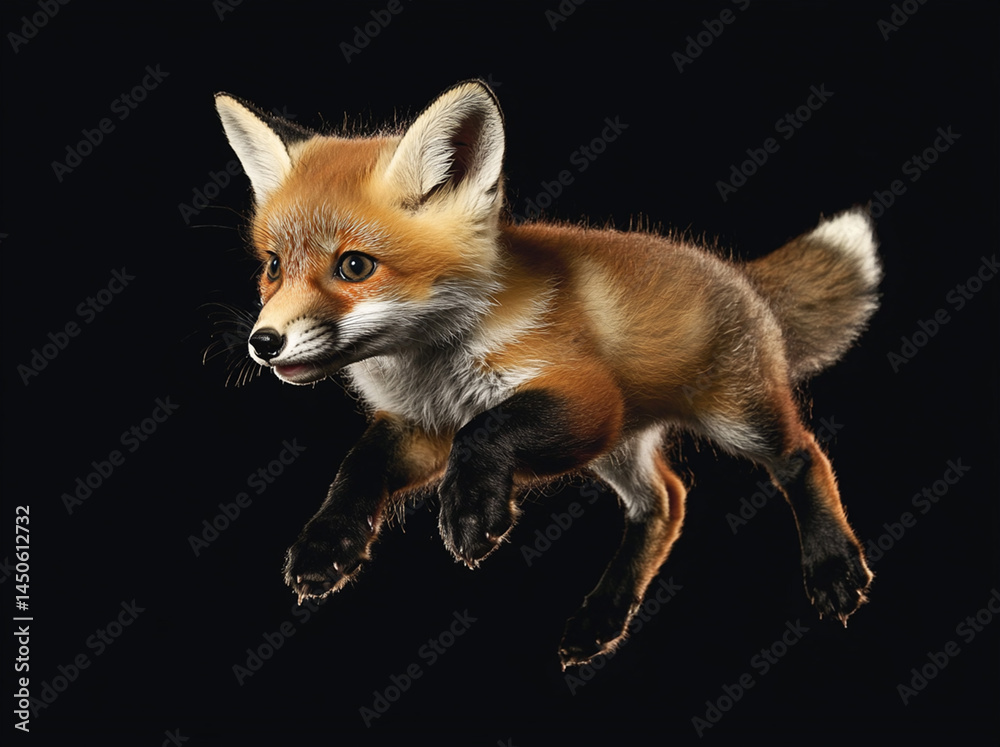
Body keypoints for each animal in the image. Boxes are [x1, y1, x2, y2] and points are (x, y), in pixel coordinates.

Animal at [213, 80, 881, 668]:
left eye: (355, 266)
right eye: (273, 266)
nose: (263, 343)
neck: (437, 371)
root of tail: (738, 273)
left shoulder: (589, 398)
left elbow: (484, 430)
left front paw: (471, 510)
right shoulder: (421, 426)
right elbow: (359, 465)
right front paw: (328, 542)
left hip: (733, 416)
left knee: (803, 457)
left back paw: (832, 565)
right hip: (622, 448)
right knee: (666, 500)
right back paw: (604, 615)